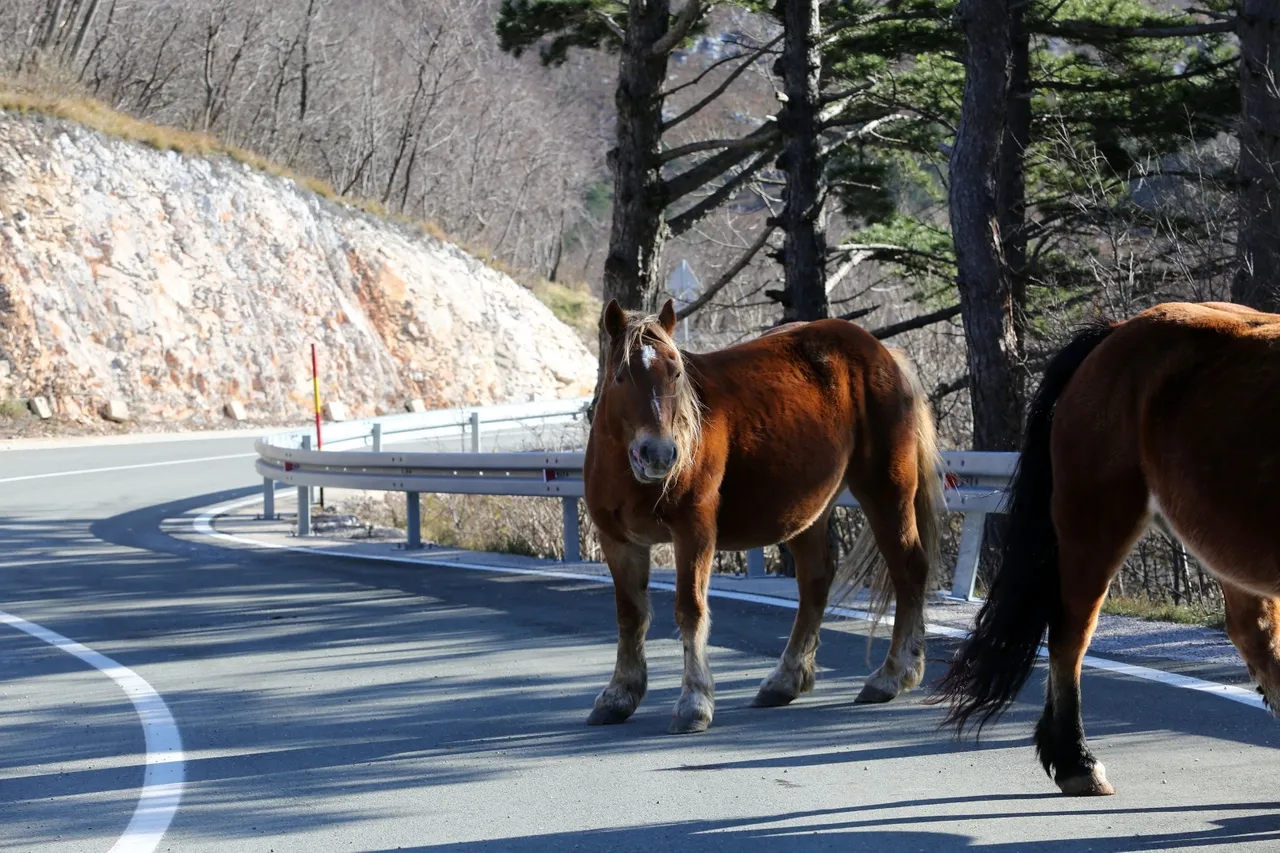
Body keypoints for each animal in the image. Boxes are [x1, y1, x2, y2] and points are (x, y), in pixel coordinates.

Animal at [586, 297, 947, 732]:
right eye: (620, 376)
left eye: (675, 372)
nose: (658, 454)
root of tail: (884, 354)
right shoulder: (617, 541)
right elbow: (629, 616)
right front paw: (619, 695)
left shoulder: (694, 531)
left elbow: (690, 609)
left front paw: (694, 702)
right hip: (810, 510)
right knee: (816, 580)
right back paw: (785, 679)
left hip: (886, 491)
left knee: (908, 569)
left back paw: (892, 675)